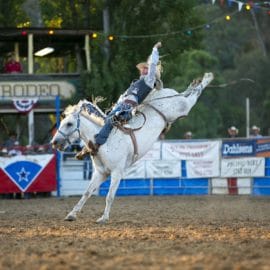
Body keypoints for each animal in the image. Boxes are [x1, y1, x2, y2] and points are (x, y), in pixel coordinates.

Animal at [50, 72, 214, 224]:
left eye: (69, 124)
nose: (54, 142)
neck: (104, 141)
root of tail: (163, 92)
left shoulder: (117, 172)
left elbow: (109, 196)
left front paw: (104, 218)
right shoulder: (101, 173)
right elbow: (86, 192)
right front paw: (72, 214)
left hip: (181, 107)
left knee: (193, 96)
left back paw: (207, 77)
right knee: (189, 93)